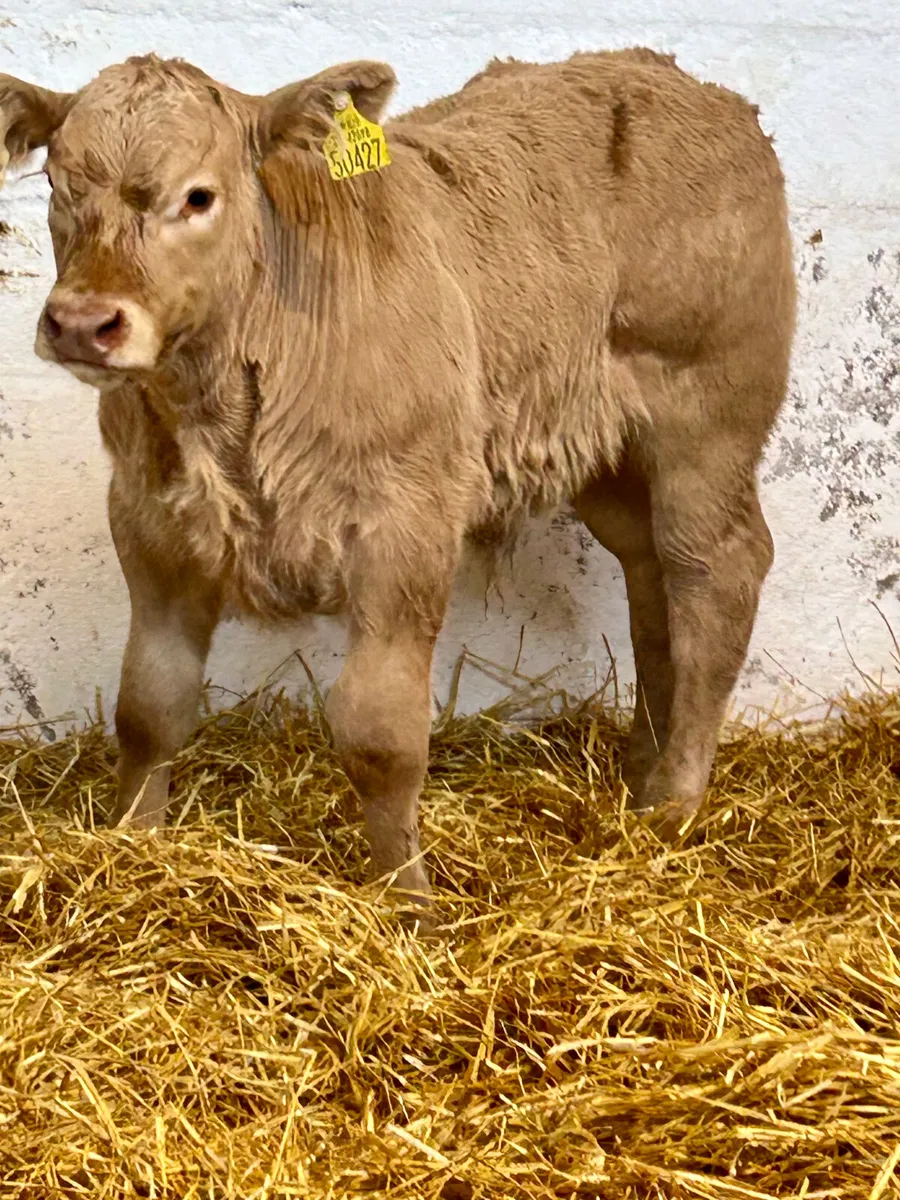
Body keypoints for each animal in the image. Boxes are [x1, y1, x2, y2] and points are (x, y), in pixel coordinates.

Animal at [0, 48, 796, 914]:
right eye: (56, 184)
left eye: (198, 195)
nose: (83, 323)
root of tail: (686, 82)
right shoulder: (150, 520)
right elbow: (150, 702)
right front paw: (133, 842)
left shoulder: (405, 524)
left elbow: (379, 732)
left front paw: (407, 901)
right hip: (609, 453)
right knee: (652, 577)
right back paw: (641, 764)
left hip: (707, 420)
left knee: (716, 570)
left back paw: (673, 803)